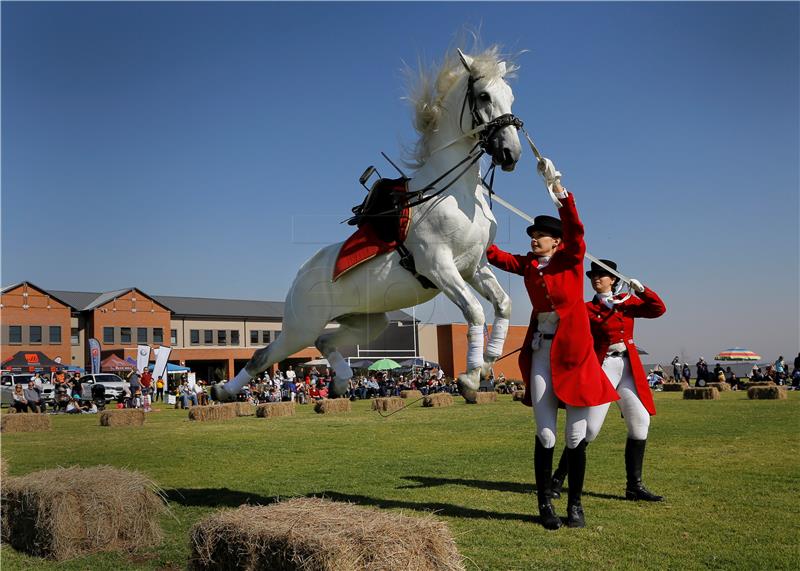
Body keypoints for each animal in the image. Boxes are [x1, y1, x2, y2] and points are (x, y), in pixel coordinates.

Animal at [216, 48, 520, 402]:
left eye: (510, 95)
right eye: (484, 96)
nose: (511, 153)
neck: (456, 194)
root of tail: (299, 278)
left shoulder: (474, 266)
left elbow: (502, 305)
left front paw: (486, 365)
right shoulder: (438, 265)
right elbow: (474, 311)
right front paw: (470, 377)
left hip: (369, 322)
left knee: (323, 341)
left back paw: (341, 381)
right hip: (300, 327)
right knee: (263, 356)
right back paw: (223, 391)